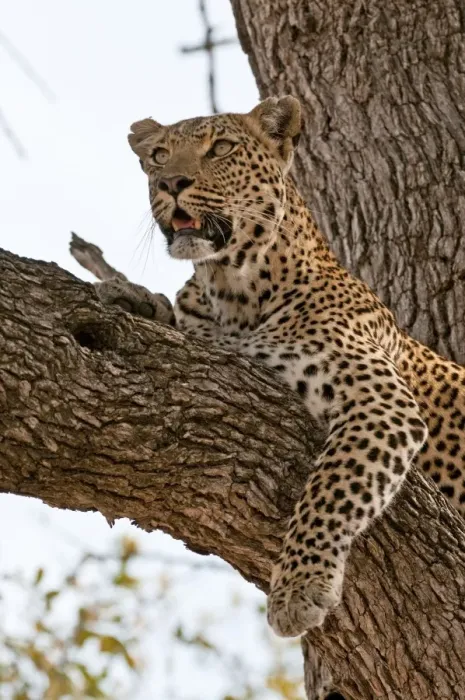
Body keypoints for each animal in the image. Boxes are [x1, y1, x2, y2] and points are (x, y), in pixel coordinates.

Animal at [95, 96, 465, 696]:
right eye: (157, 156)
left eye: (220, 148)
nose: (171, 182)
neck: (231, 290)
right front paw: (130, 296)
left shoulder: (381, 401)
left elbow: (332, 486)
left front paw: (298, 587)